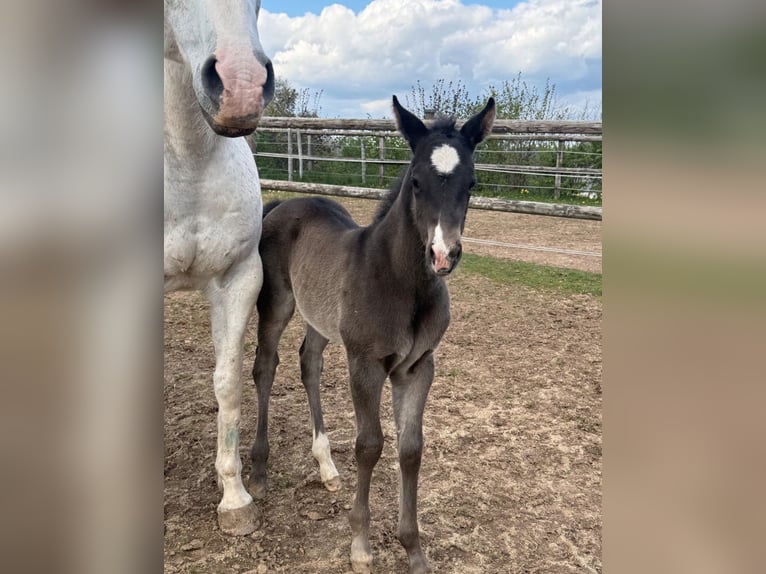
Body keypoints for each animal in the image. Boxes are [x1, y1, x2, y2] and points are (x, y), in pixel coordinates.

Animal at [249, 96, 495, 573]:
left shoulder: (417, 367)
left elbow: (410, 448)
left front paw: (413, 549)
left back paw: (326, 467)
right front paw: (360, 543)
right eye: (415, 182)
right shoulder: (364, 363)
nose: (443, 255)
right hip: (276, 306)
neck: (401, 282)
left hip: (320, 318)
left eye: (472, 183)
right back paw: (258, 472)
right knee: (265, 368)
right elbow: (370, 445)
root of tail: (281, 204)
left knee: (309, 362)